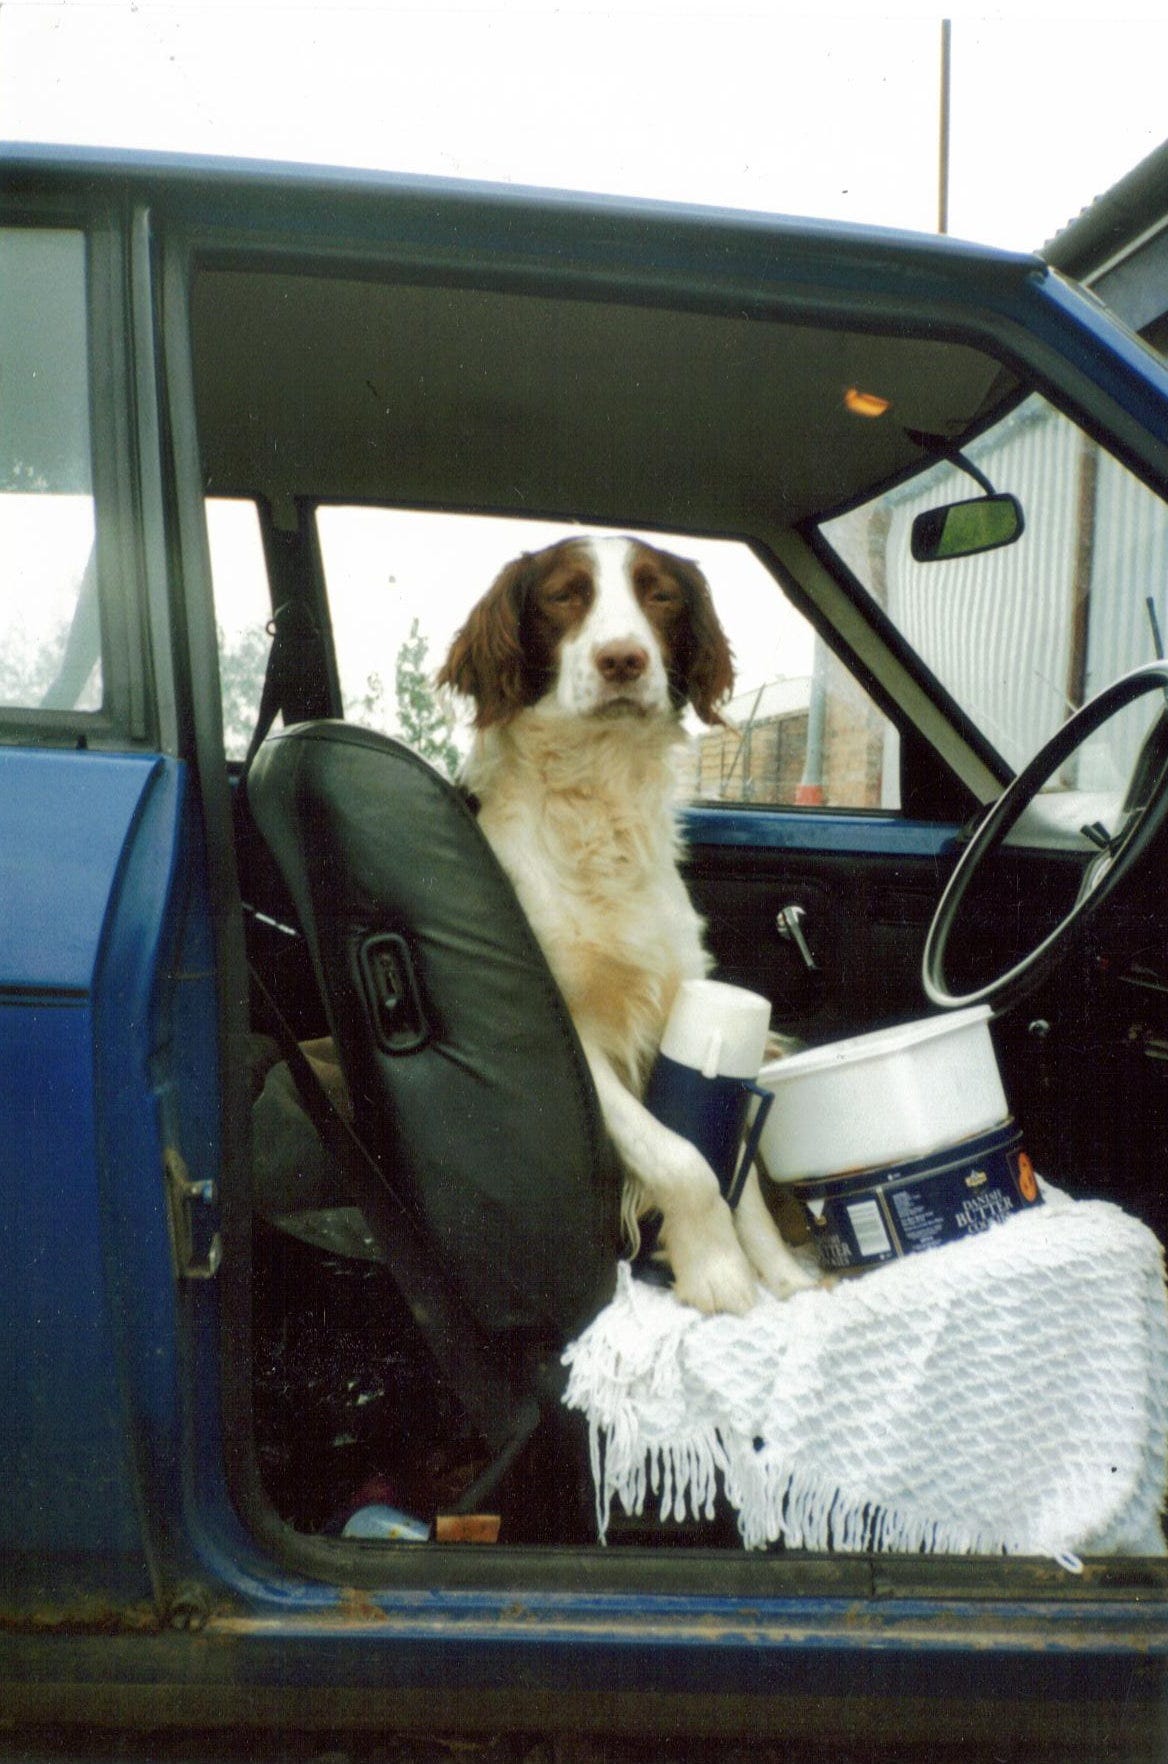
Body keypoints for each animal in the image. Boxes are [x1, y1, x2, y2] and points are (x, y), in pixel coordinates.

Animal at [439, 532, 815, 1312]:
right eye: (564, 595)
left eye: (660, 594)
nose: (622, 660)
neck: (595, 796)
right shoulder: (575, 1036)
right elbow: (681, 1158)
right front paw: (717, 1271)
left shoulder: (688, 1002)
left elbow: (736, 1172)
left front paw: (781, 1275)